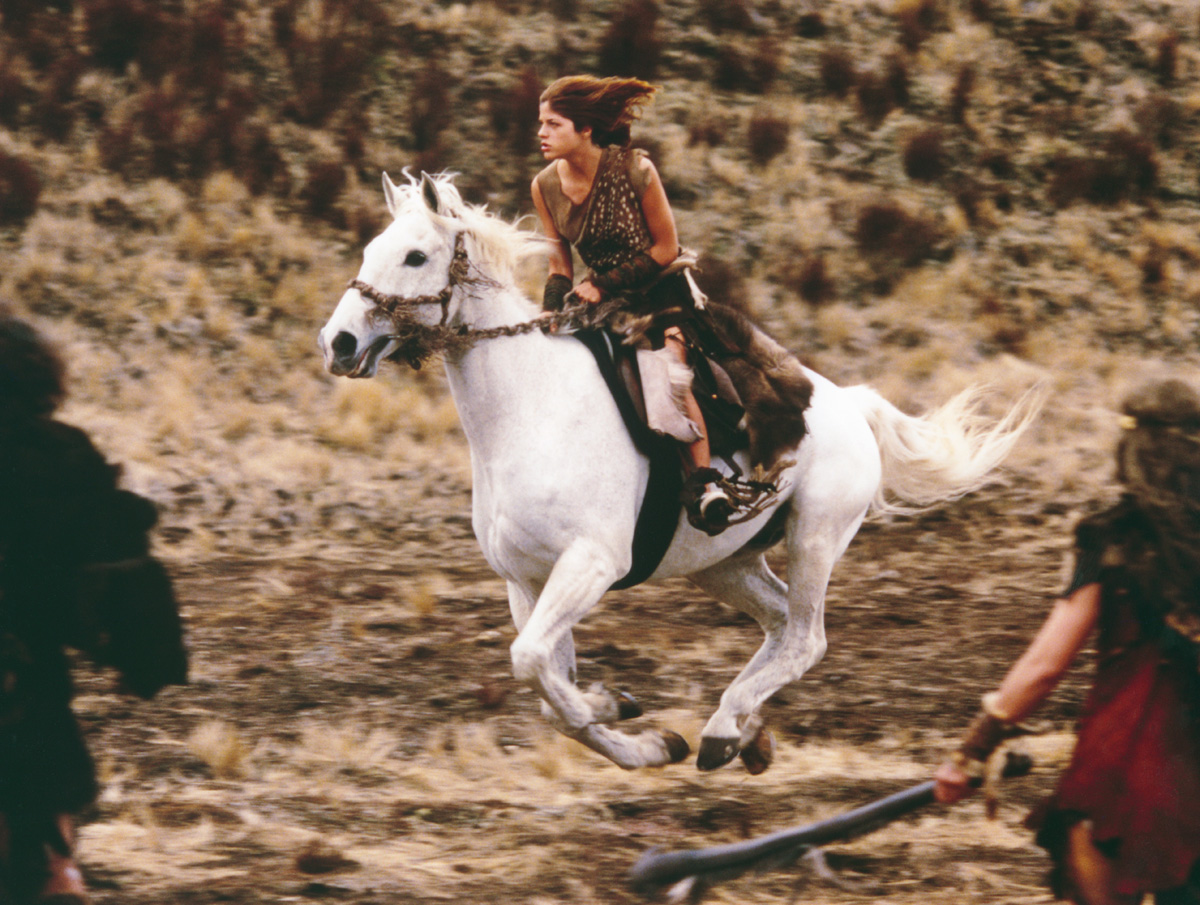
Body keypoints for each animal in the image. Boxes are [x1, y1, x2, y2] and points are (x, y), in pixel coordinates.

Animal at [318, 171, 1039, 773]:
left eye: (415, 255)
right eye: (371, 249)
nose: (339, 343)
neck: (528, 409)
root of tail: (851, 405)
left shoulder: (591, 563)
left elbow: (537, 670)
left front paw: (614, 708)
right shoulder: (526, 581)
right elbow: (549, 686)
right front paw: (640, 734)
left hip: (814, 538)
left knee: (806, 639)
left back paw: (723, 729)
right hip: (725, 563)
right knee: (779, 623)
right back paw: (746, 731)